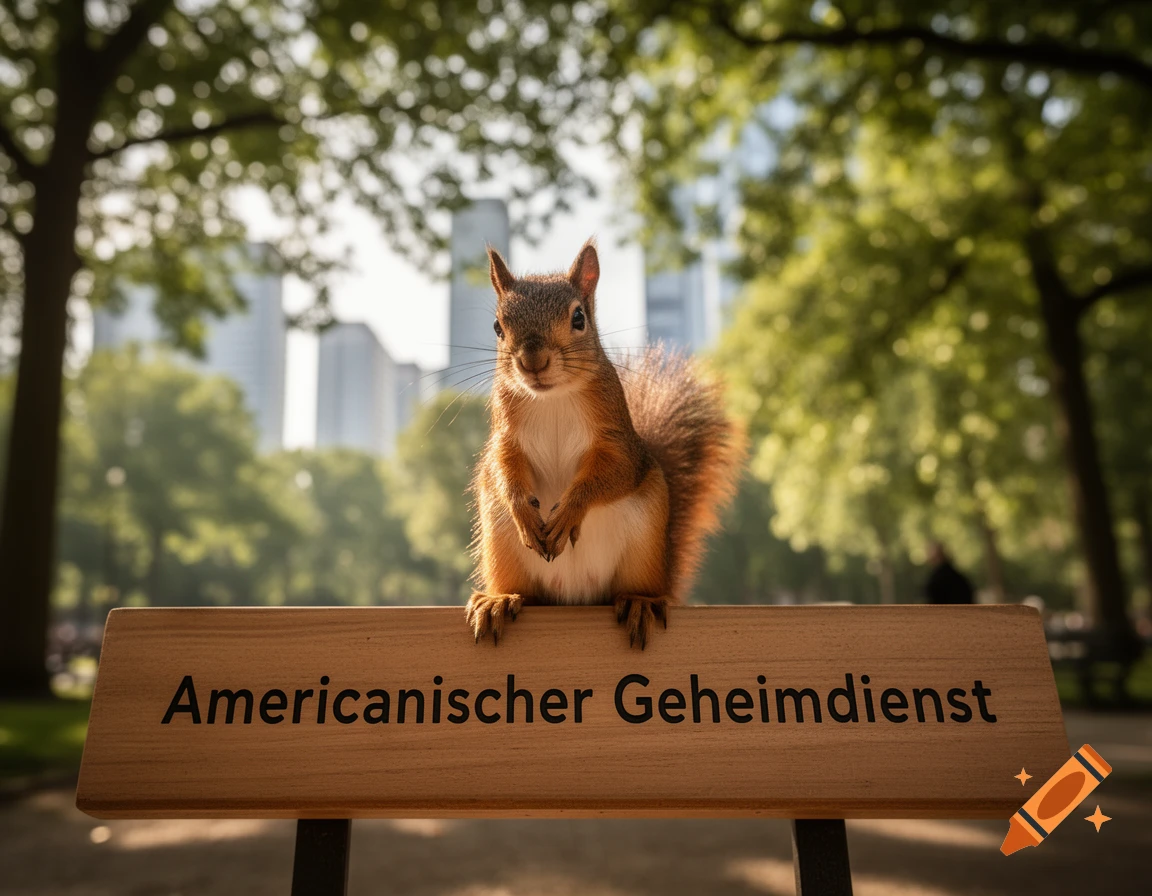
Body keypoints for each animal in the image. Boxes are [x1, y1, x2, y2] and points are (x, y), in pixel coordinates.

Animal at [466, 239, 746, 649]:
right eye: (498, 326)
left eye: (579, 318)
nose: (533, 361)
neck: (551, 398)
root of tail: (574, 597)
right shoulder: (504, 438)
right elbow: (502, 469)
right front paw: (523, 510)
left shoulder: (619, 443)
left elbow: (614, 473)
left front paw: (569, 511)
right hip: (501, 548)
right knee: (524, 592)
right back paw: (499, 600)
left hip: (643, 550)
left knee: (637, 588)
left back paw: (640, 603)